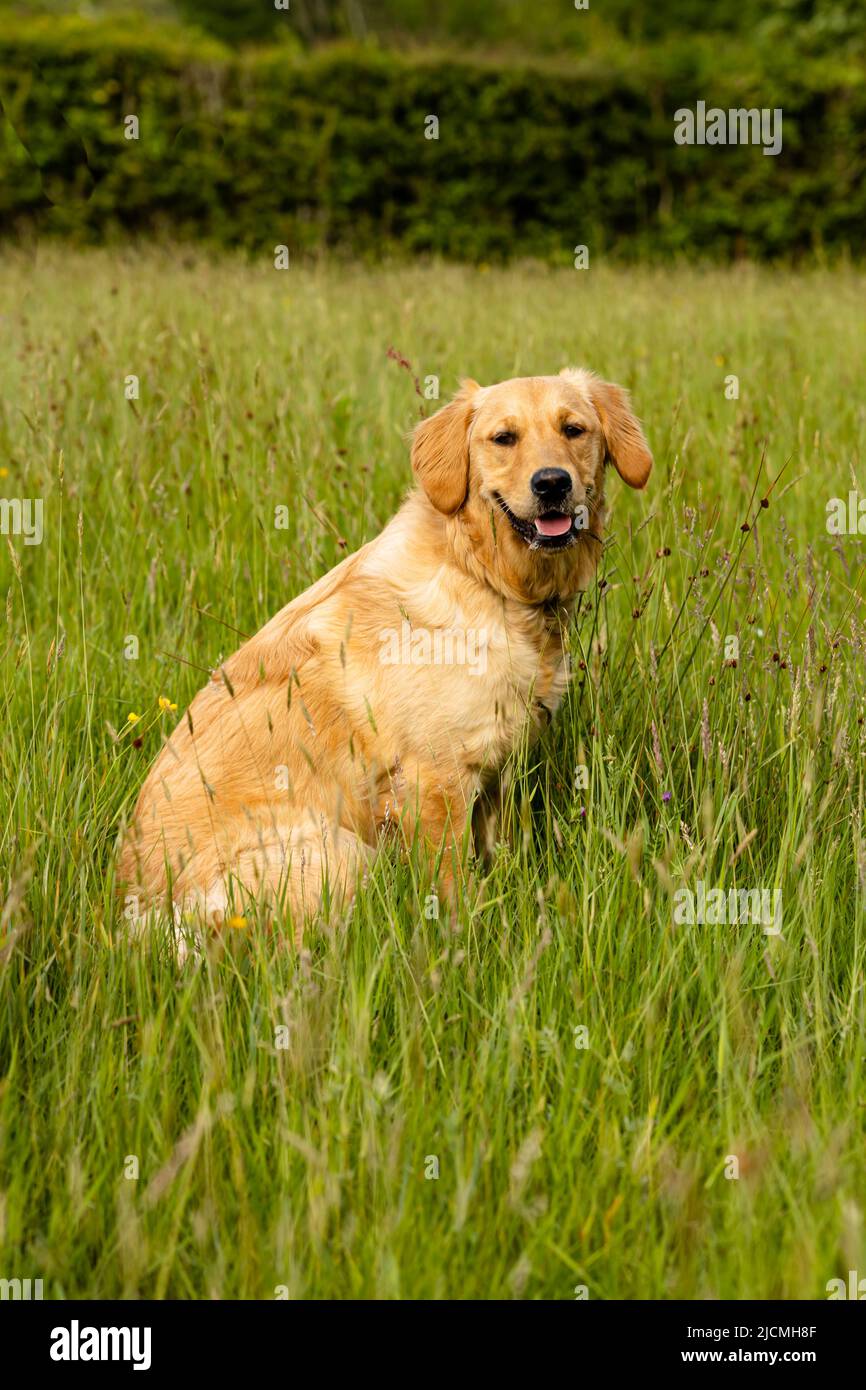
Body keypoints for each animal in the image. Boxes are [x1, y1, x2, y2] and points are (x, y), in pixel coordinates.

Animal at [120, 369, 650, 950]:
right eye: (503, 438)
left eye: (573, 429)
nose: (551, 483)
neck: (482, 575)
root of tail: (142, 913)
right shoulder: (433, 780)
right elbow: (455, 885)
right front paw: (470, 941)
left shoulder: (496, 772)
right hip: (343, 855)